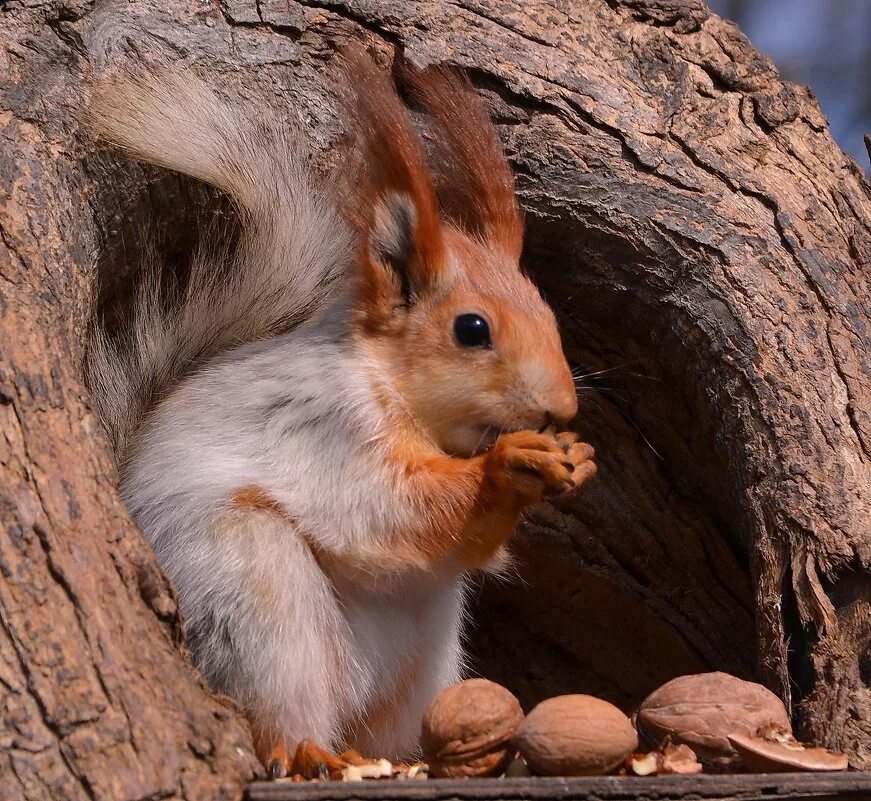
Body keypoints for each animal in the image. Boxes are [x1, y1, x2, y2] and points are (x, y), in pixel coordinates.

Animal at [85, 51, 596, 776]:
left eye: (550, 315)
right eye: (472, 329)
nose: (562, 406)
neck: (392, 386)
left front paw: (575, 458)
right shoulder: (327, 428)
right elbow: (387, 504)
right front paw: (506, 464)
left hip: (424, 661)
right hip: (255, 601)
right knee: (276, 713)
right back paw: (307, 751)